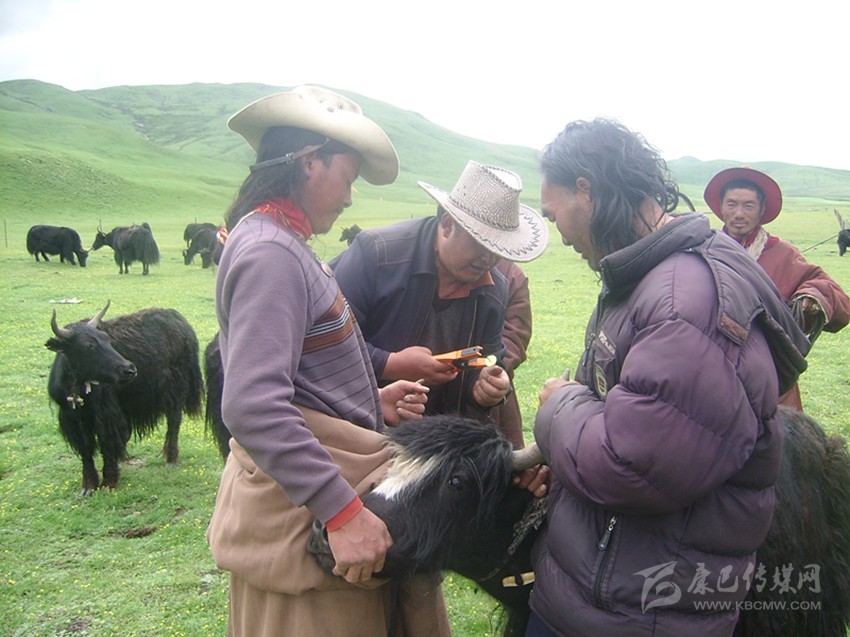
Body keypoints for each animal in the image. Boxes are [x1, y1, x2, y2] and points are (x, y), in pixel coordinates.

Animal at [46, 301, 204, 494]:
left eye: (107, 340)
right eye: (88, 346)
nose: (129, 369)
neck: (77, 389)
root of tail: (181, 321)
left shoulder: (107, 415)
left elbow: (107, 445)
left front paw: (108, 482)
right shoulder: (72, 420)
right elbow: (85, 449)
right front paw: (88, 486)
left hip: (176, 389)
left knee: (174, 421)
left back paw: (171, 459)